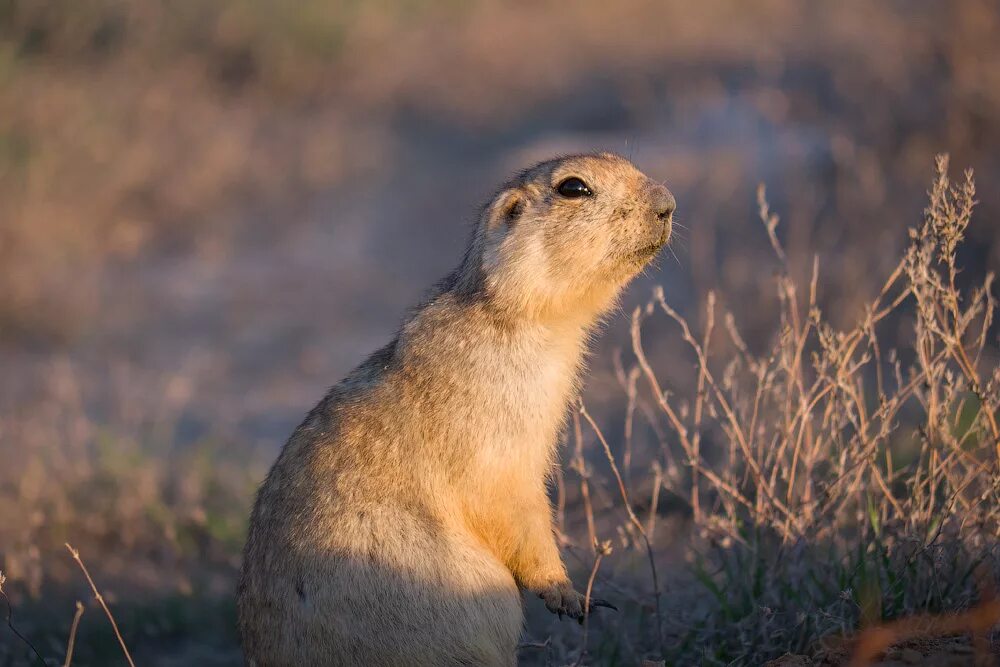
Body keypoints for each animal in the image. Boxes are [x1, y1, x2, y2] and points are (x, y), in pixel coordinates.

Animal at [238, 154, 676, 664]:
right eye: (573, 187)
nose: (667, 202)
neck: (517, 319)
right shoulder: (494, 428)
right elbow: (510, 501)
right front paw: (567, 592)